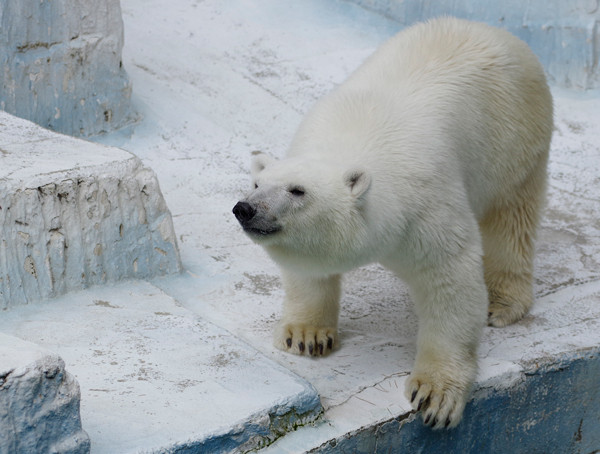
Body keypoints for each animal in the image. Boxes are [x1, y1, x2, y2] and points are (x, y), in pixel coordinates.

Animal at [232, 17, 552, 430]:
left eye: (297, 191)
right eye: (258, 184)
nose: (246, 209)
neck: (353, 142)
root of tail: (495, 32)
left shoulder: (427, 207)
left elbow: (450, 280)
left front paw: (435, 395)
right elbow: (309, 274)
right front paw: (306, 335)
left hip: (513, 140)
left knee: (510, 219)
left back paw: (501, 301)